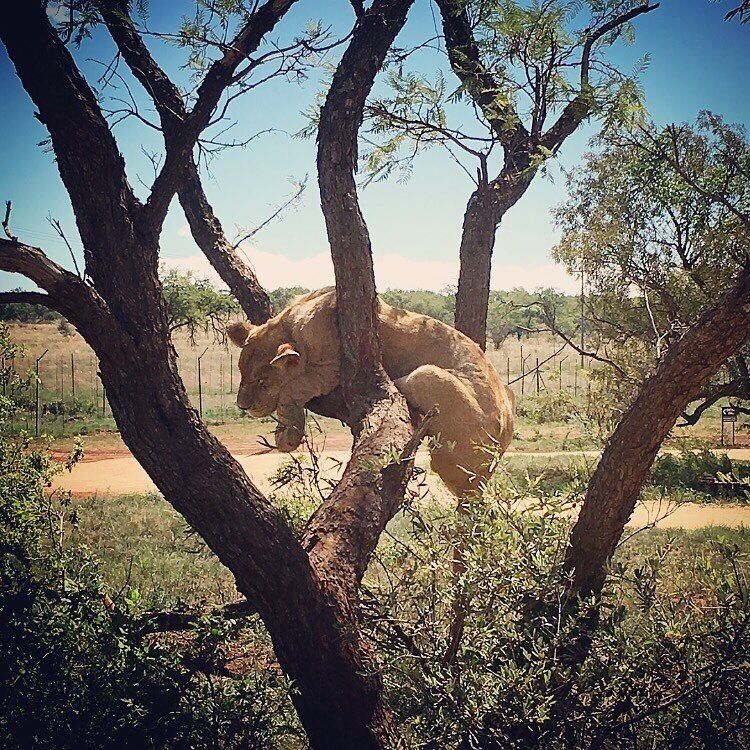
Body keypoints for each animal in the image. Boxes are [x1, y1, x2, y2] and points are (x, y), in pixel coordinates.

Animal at [227, 288, 514, 498]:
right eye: (240, 371)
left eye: (262, 382)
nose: (242, 405)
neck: (290, 322)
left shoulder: (332, 368)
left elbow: (292, 390)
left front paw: (287, 436)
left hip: (427, 375)